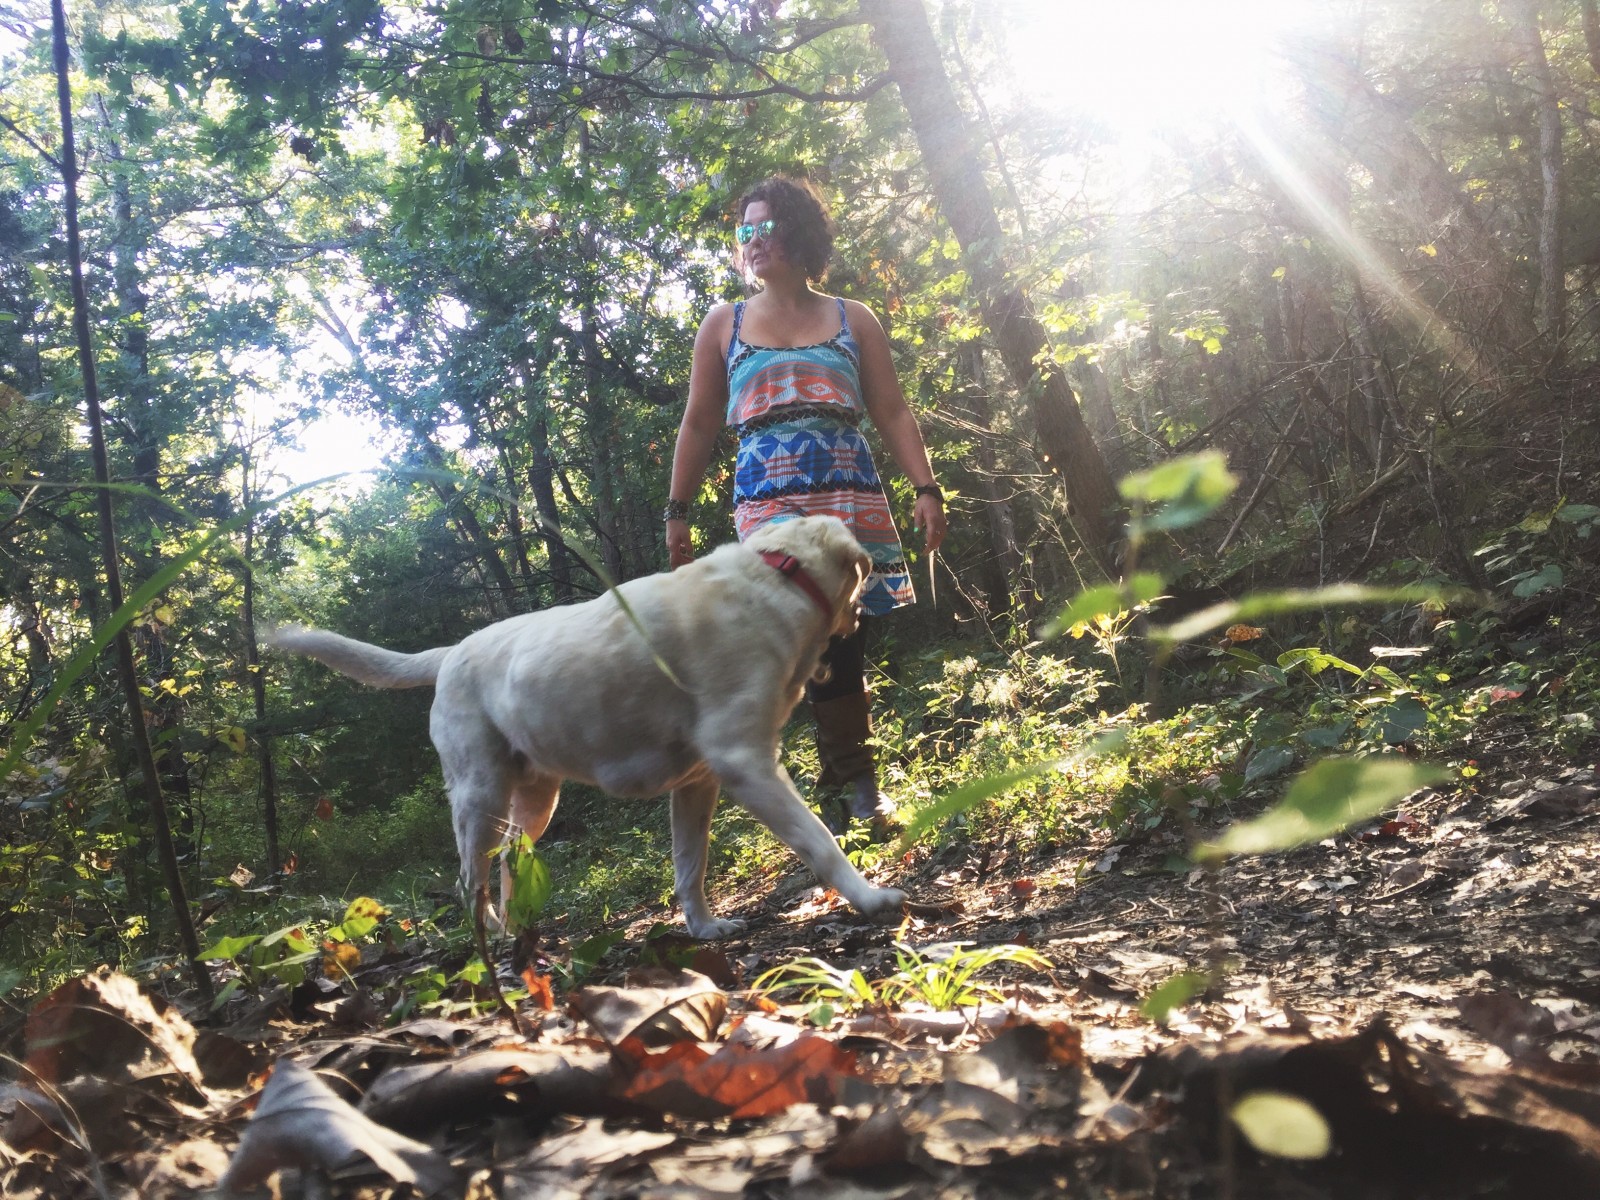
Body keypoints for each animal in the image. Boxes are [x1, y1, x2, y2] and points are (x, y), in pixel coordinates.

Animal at [268, 518, 908, 940]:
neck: (778, 576)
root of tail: (450, 654)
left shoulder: (698, 784)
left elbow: (689, 867)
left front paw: (703, 928)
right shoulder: (746, 764)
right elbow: (819, 842)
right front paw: (869, 898)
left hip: (534, 800)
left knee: (508, 862)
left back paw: (519, 927)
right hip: (480, 797)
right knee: (469, 878)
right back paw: (490, 938)